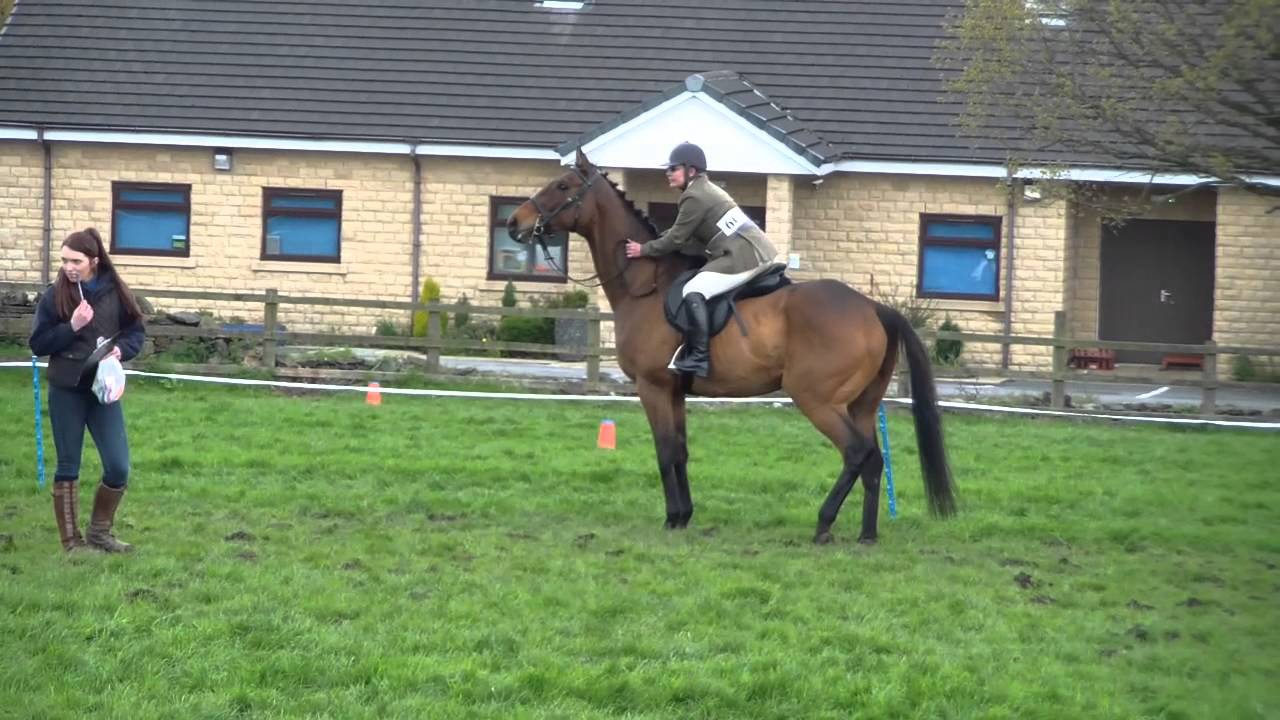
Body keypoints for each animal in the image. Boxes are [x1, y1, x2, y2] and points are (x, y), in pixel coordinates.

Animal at [507, 150, 956, 544]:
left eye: (562, 186)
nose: (514, 222)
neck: (643, 285)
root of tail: (874, 307)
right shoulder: (675, 391)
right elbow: (681, 452)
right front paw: (685, 515)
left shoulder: (653, 387)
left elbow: (665, 451)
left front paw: (672, 518)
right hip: (861, 403)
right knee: (873, 460)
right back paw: (866, 534)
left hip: (817, 398)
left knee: (855, 452)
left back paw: (824, 524)